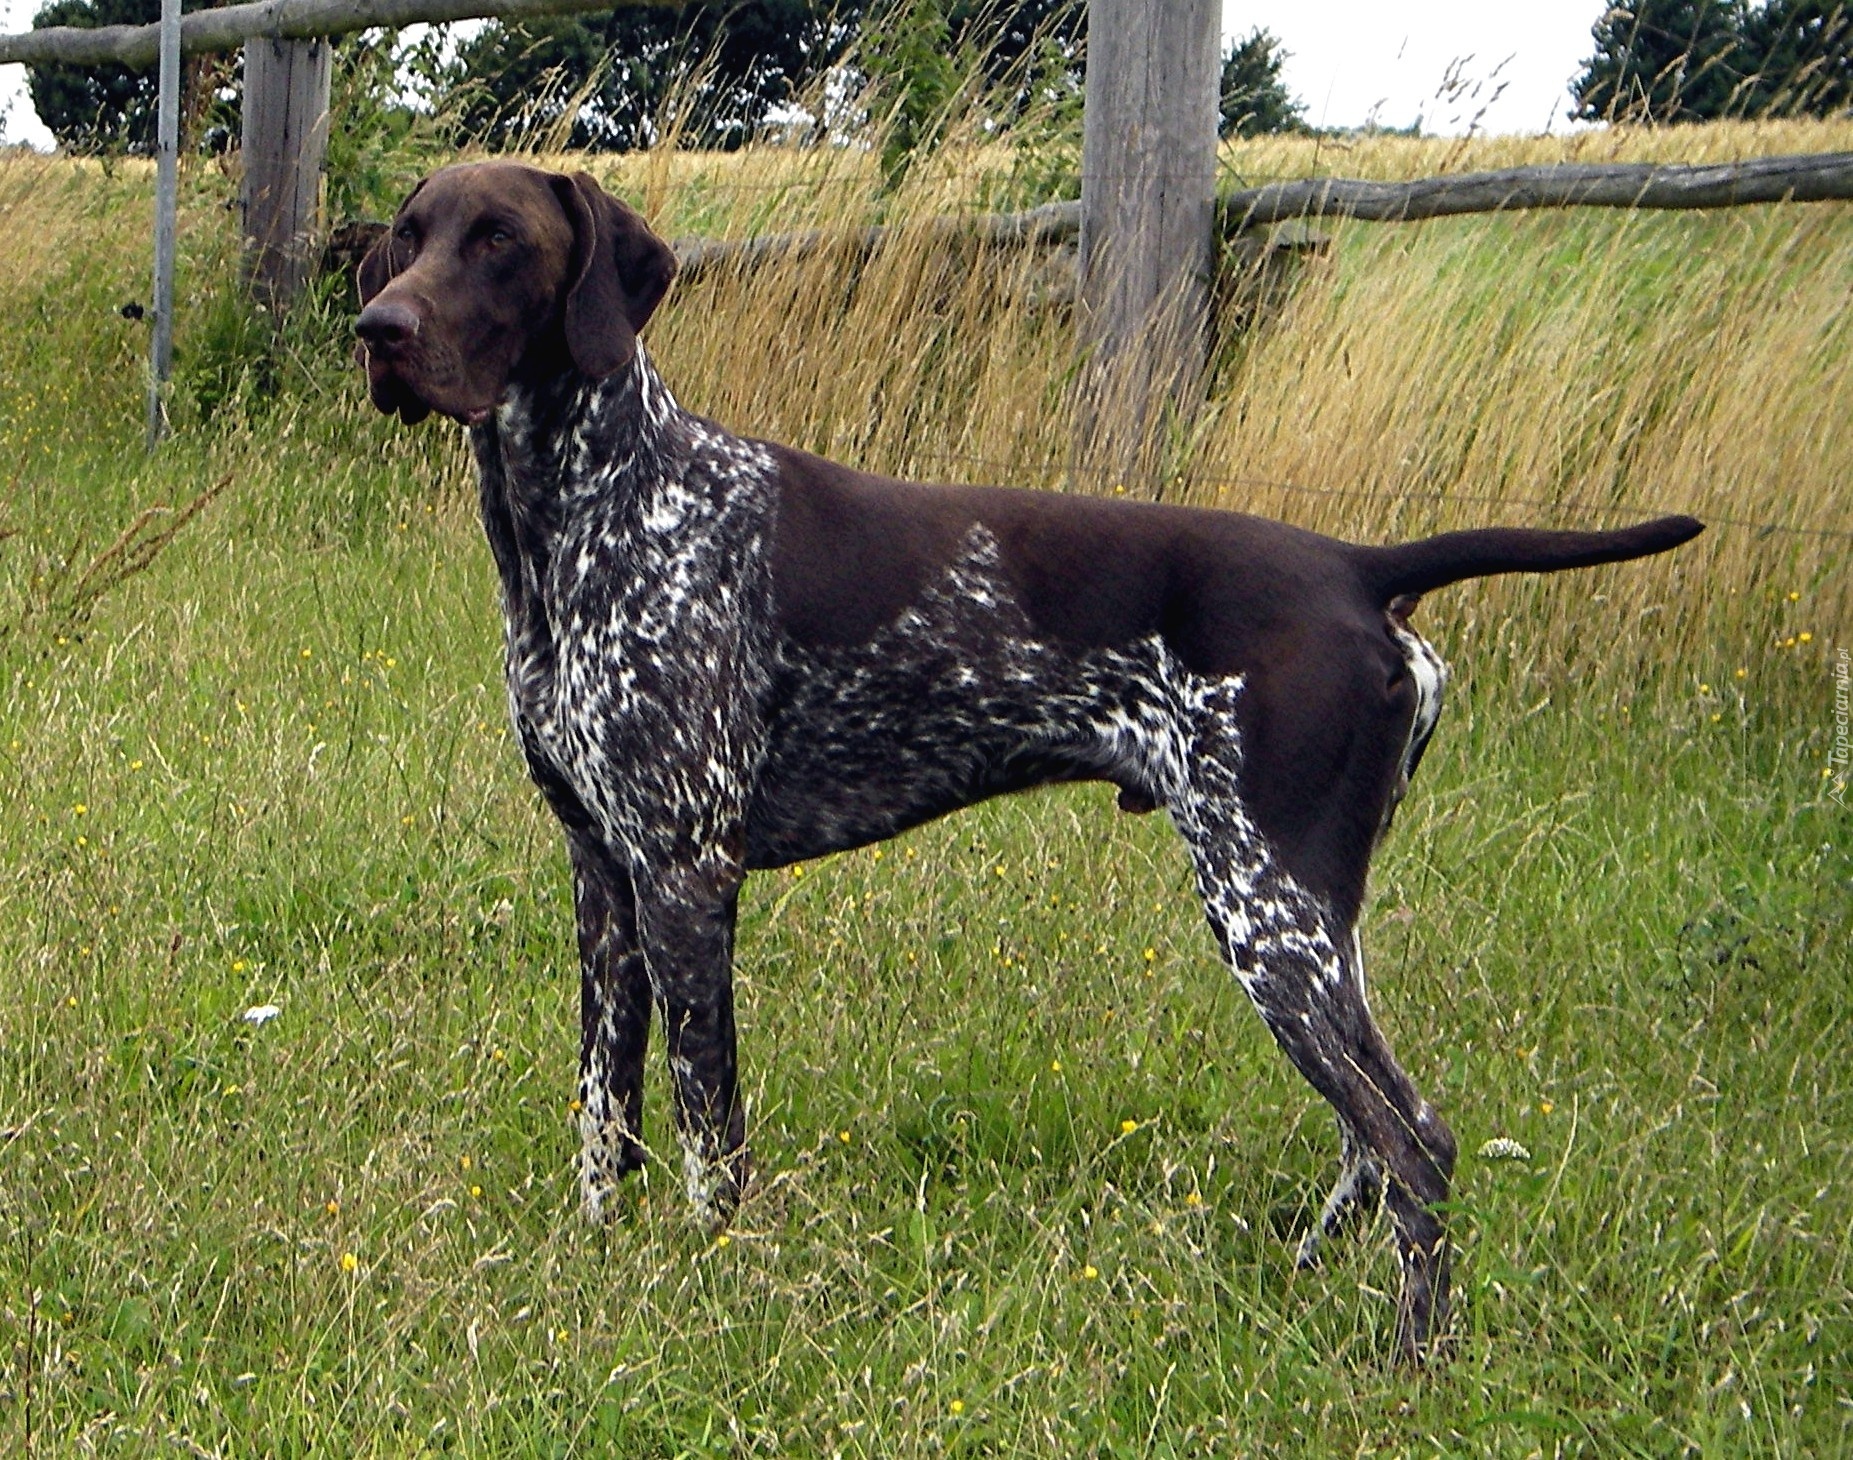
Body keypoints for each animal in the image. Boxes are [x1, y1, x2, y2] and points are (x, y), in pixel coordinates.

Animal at [353, 159, 1697, 1356]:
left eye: (501, 241)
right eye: (410, 235)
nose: (378, 328)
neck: (589, 513)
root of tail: (1356, 568)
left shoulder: (687, 874)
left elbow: (706, 1126)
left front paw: (715, 1280)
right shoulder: (601, 871)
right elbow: (603, 1106)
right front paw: (596, 1258)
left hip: (1267, 914)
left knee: (1412, 1136)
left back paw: (1409, 1360)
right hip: (1311, 918)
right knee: (1368, 1140)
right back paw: (1305, 1282)